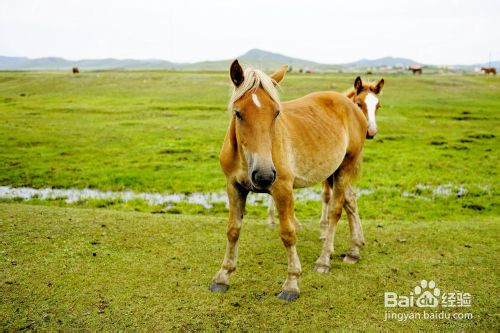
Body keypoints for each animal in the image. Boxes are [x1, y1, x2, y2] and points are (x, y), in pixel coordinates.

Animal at [209, 60, 376, 300]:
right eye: (238, 113)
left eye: (276, 113)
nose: (264, 175)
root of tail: (352, 106)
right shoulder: (234, 187)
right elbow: (233, 230)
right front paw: (223, 275)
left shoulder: (282, 189)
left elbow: (288, 233)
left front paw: (291, 283)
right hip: (334, 171)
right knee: (350, 201)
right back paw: (354, 250)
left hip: (345, 167)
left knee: (335, 211)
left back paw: (324, 260)